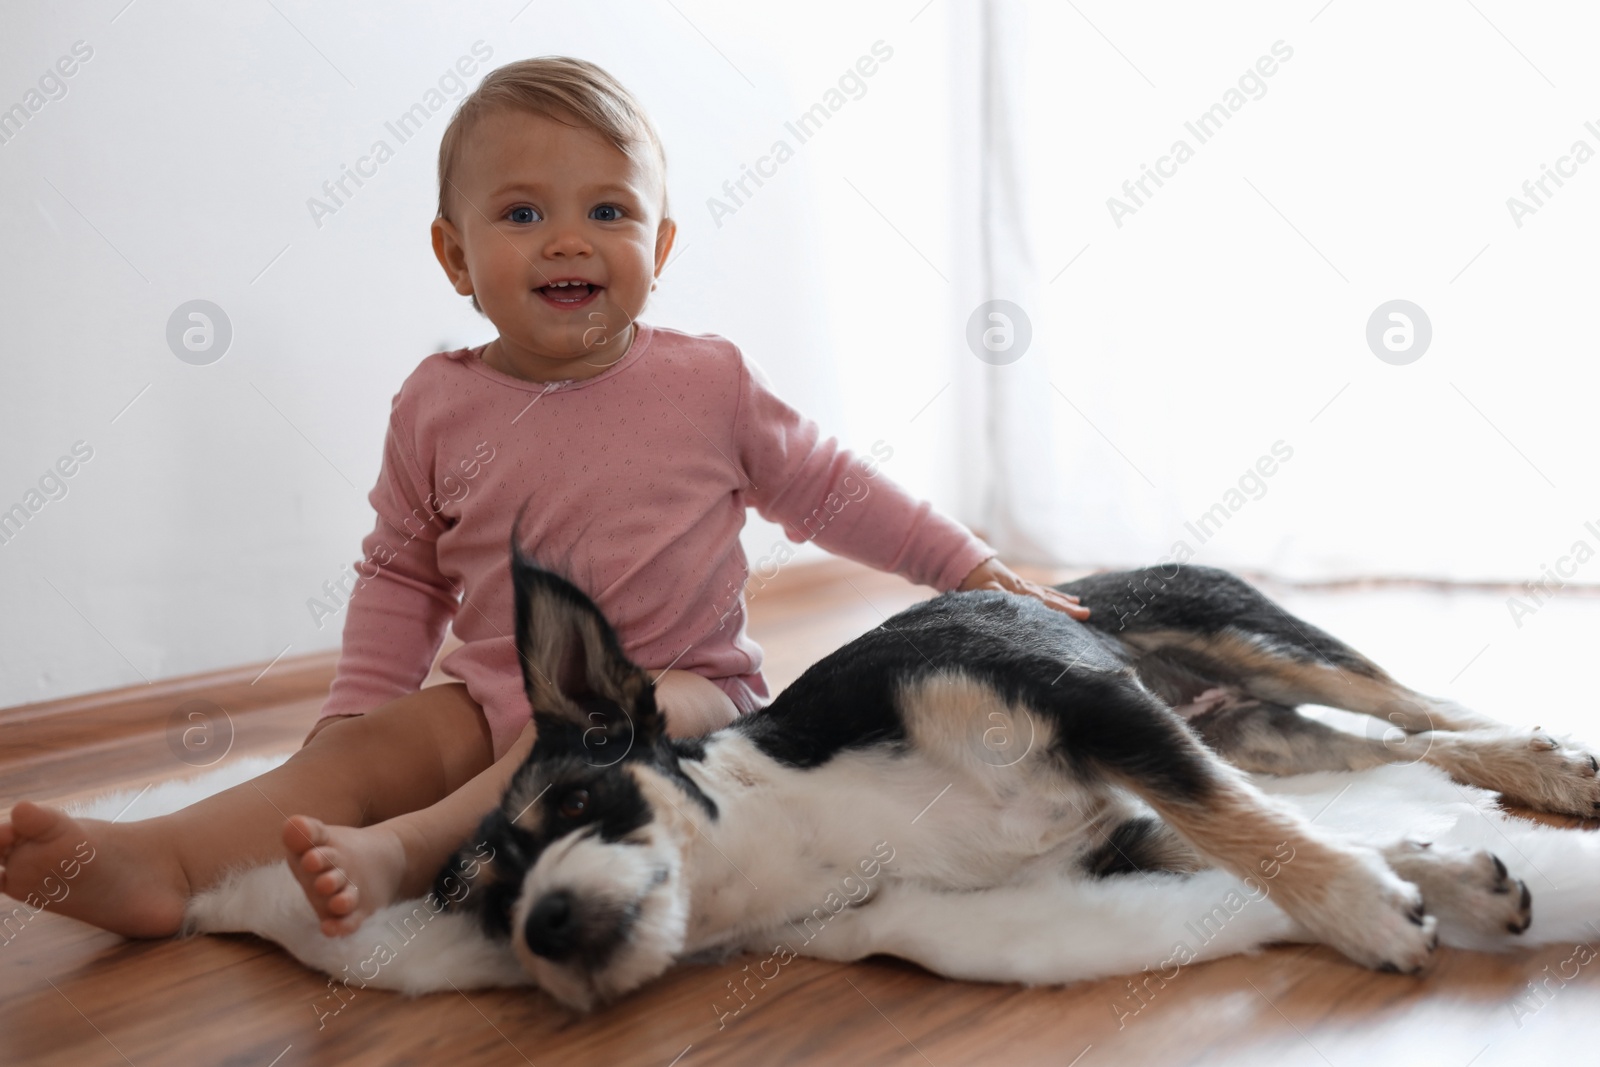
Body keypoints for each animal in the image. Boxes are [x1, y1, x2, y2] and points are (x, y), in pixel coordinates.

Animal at [438, 547, 1600, 1017]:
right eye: (494, 908)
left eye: (577, 801)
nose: (543, 924)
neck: (808, 822)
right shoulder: (1118, 824)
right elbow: (1263, 830)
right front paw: (1439, 877)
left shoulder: (1095, 706)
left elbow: (1250, 832)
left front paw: (1362, 911)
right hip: (1260, 731)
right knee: (1394, 753)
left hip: (1244, 635)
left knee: (1417, 706)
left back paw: (1543, 760)